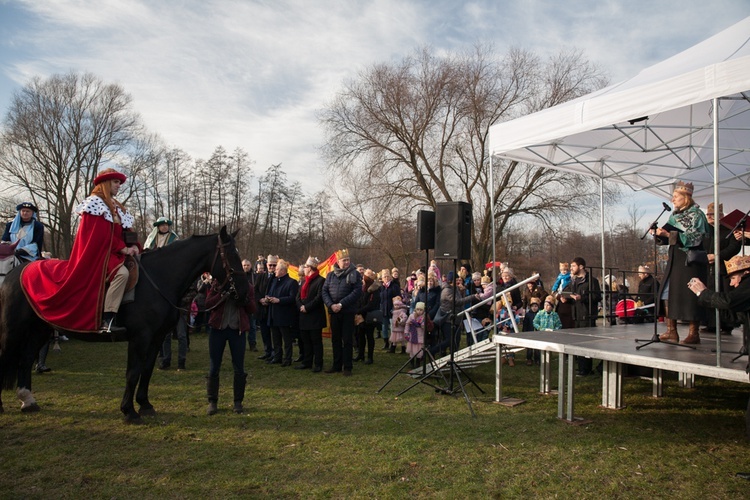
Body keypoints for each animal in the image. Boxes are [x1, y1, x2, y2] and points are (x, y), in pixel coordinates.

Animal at [0, 227, 248, 422]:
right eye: (231, 254)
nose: (244, 289)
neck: (159, 279)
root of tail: (14, 273)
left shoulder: (156, 338)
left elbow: (147, 370)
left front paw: (145, 405)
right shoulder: (140, 338)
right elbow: (133, 372)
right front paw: (129, 411)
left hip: (39, 330)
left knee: (25, 360)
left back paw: (28, 401)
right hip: (12, 329)